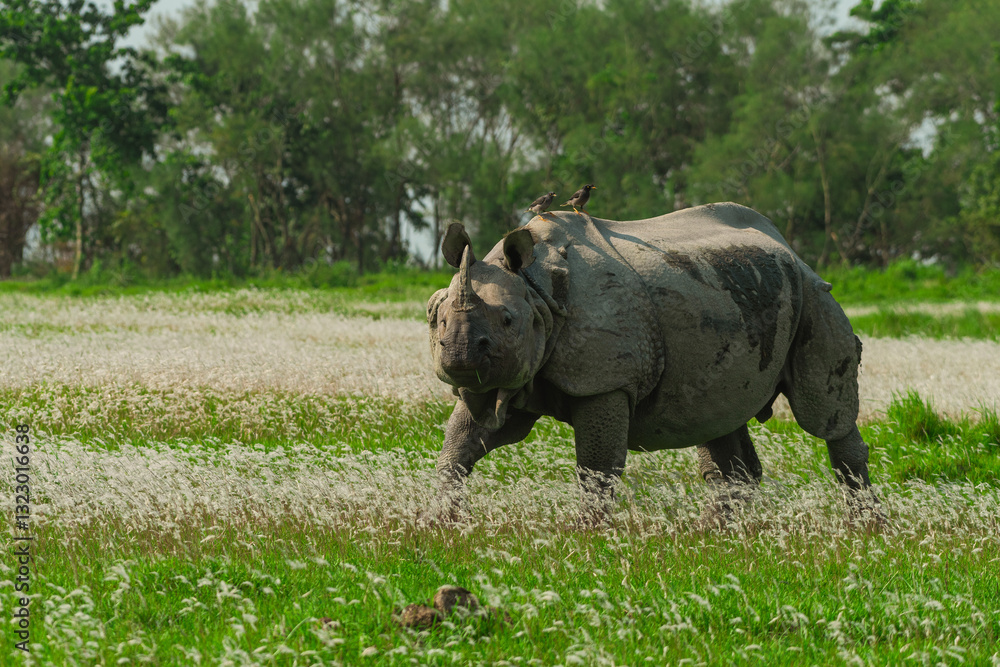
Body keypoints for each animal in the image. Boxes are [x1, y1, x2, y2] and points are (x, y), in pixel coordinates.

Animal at [427, 203, 876, 517]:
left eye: (507, 320)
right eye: (437, 318)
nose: (458, 355)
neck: (535, 291)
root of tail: (790, 248)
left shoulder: (606, 381)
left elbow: (596, 470)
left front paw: (587, 535)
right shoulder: (505, 380)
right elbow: (459, 448)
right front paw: (438, 524)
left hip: (813, 294)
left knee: (824, 416)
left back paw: (867, 529)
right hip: (728, 293)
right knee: (717, 418)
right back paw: (715, 537)